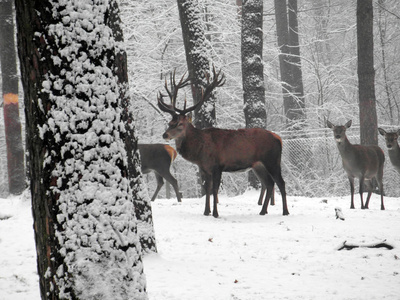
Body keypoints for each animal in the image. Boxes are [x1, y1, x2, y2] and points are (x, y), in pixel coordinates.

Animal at [156, 67, 288, 218]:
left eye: (180, 124)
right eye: (169, 123)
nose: (165, 134)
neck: (200, 151)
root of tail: (278, 138)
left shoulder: (217, 165)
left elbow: (215, 189)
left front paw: (215, 213)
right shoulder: (204, 168)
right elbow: (207, 188)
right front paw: (206, 211)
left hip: (272, 160)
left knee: (281, 182)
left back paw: (285, 211)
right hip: (258, 165)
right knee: (269, 183)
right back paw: (263, 211)